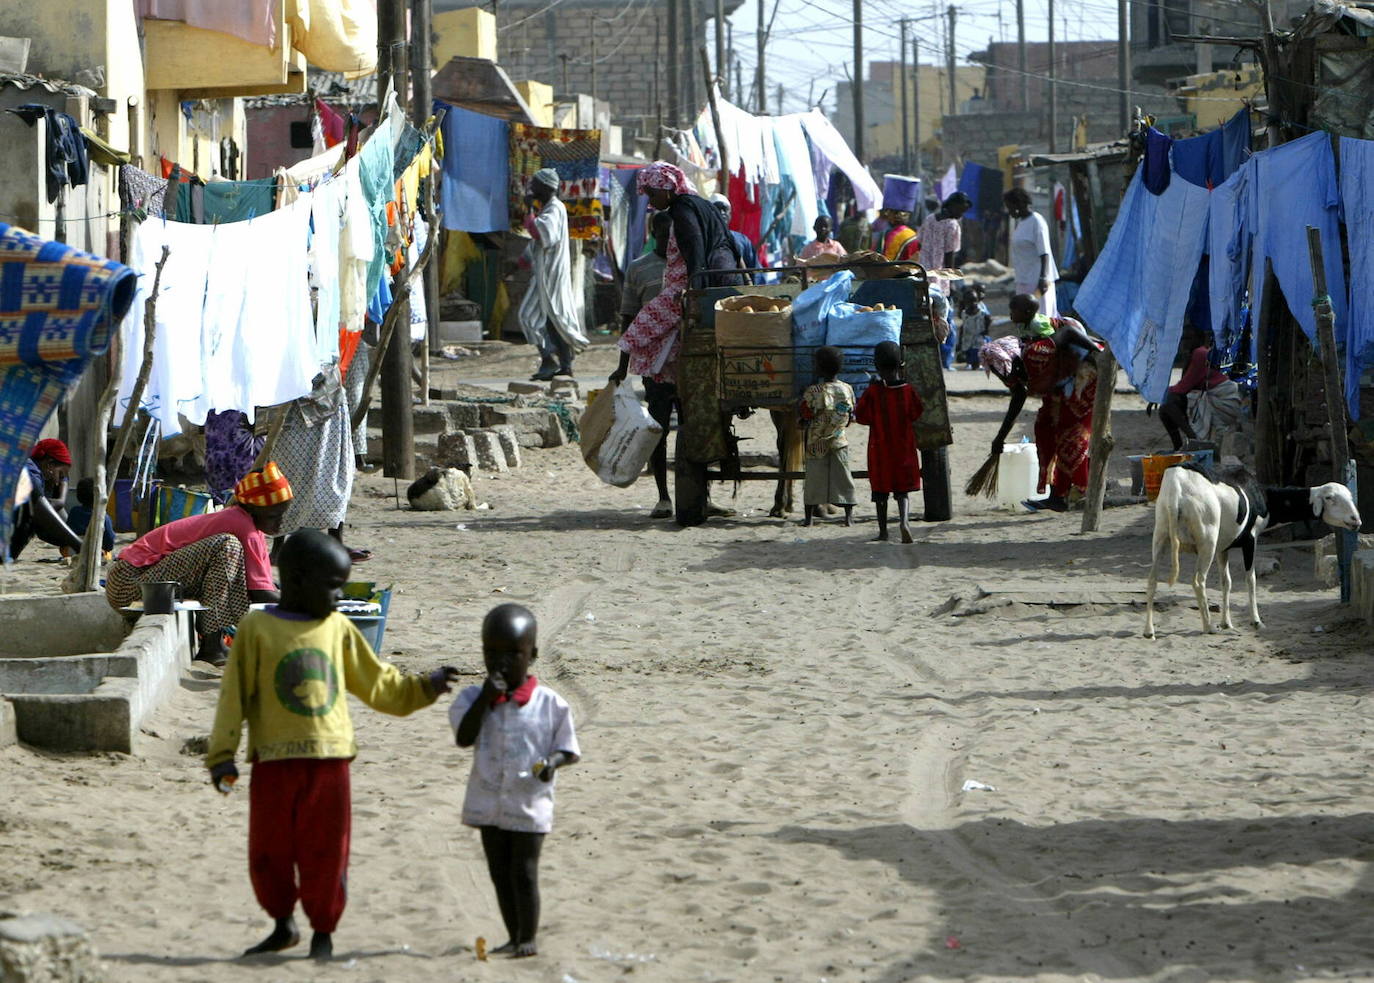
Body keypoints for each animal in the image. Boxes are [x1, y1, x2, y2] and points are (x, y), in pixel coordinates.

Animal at [1143, 461, 1357, 637]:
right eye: (1329, 497)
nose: (1356, 520)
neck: (1261, 495)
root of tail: (1177, 483)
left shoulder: (1223, 548)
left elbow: (1226, 582)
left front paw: (1227, 623)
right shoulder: (1250, 540)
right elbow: (1251, 579)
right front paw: (1256, 621)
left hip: (1161, 536)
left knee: (1152, 580)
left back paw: (1149, 631)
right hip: (1207, 541)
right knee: (1198, 581)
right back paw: (1208, 627)